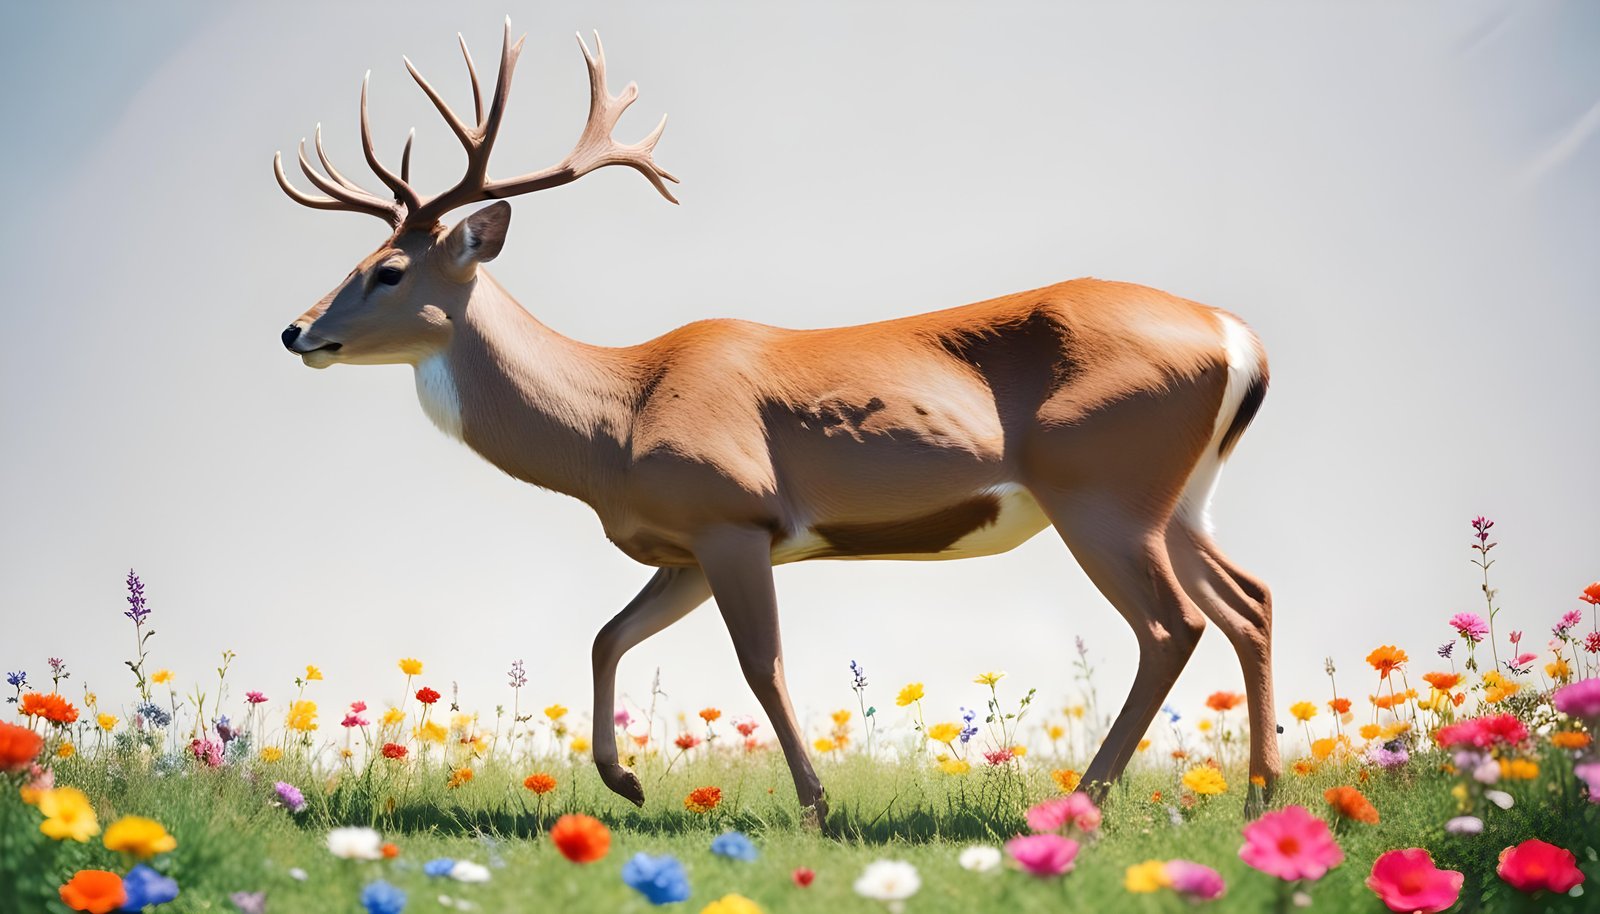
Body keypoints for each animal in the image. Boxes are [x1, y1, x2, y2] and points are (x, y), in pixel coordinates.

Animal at [275, 19, 1279, 822]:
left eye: (389, 270)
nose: (296, 331)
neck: (616, 418)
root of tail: (1240, 339)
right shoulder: (684, 546)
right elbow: (607, 635)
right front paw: (626, 783)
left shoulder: (735, 514)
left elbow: (763, 666)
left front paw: (817, 811)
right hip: (1178, 499)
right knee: (1249, 602)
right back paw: (1260, 797)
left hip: (1100, 488)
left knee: (1173, 626)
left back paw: (1083, 805)